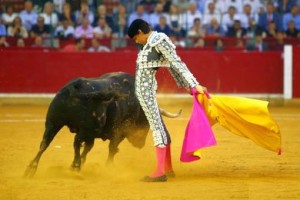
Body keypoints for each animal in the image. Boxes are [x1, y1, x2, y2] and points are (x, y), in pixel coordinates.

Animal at [24, 72, 180, 178]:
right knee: (75, 142)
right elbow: (112, 149)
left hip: (53, 122)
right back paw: (75, 166)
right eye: (147, 124)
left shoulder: (92, 134)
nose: (140, 144)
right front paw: (108, 167)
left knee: (45, 143)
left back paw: (31, 169)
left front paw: (82, 162)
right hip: (83, 128)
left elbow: (88, 148)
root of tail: (75, 87)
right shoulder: (117, 132)